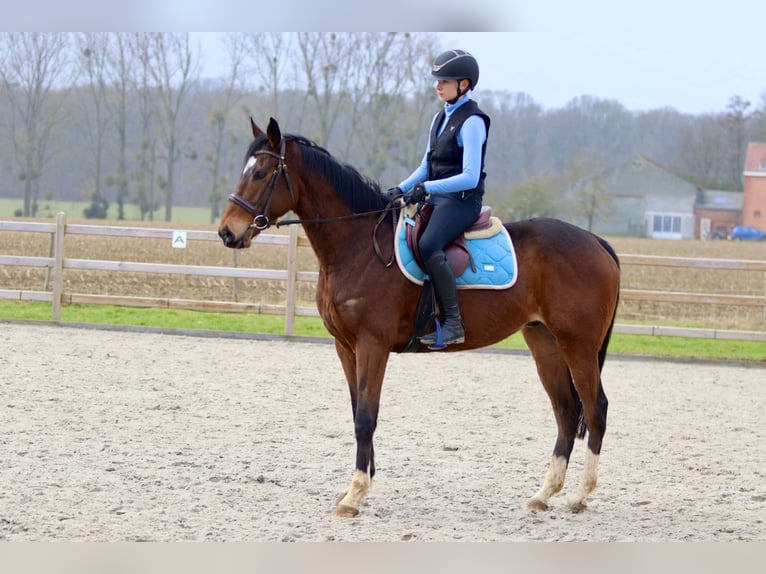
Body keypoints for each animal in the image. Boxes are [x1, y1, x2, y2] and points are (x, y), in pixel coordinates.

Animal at [218, 119, 624, 520]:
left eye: (261, 173)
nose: (227, 232)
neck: (359, 246)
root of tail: (596, 242)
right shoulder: (345, 347)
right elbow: (356, 411)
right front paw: (358, 485)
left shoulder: (372, 345)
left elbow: (366, 416)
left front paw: (355, 495)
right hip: (545, 342)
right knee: (567, 411)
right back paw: (543, 494)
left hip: (578, 345)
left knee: (595, 409)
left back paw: (579, 496)